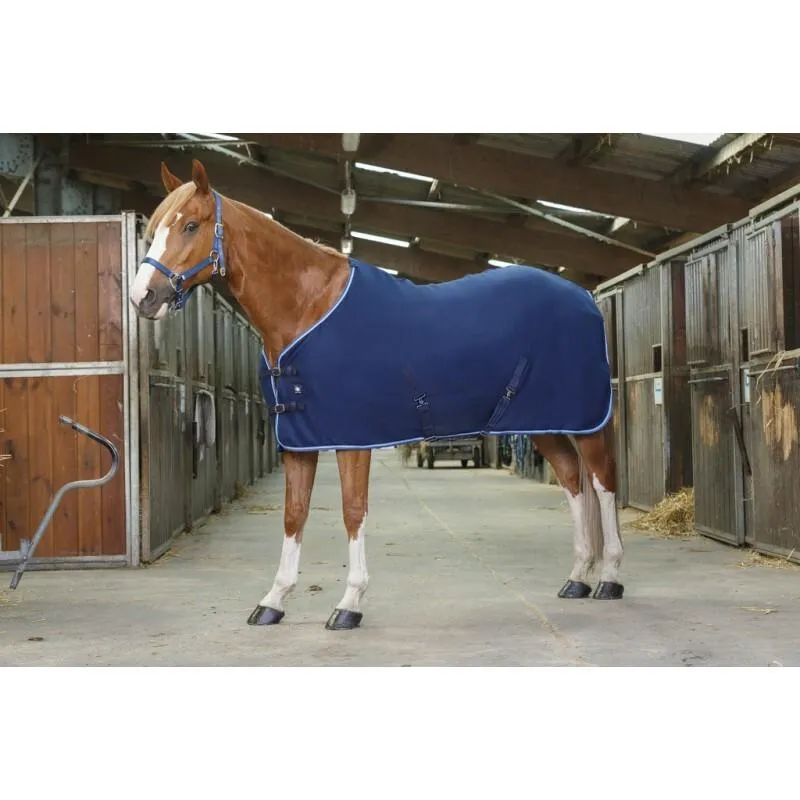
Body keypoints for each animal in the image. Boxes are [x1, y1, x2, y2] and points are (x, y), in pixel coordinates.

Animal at [130, 158, 625, 632]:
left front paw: (349, 605)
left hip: (583, 419)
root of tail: (584, 296)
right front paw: (273, 601)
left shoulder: (352, 438)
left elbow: (353, 511)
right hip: (544, 421)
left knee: (602, 482)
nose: (142, 297)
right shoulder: (299, 441)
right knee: (571, 480)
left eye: (191, 225)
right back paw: (577, 579)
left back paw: (609, 579)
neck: (308, 306)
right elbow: (293, 514)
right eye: (154, 230)